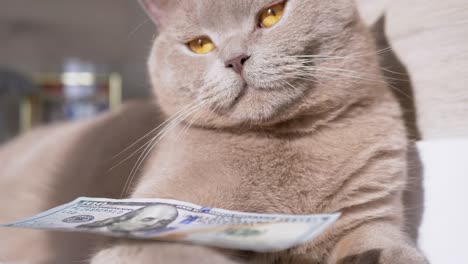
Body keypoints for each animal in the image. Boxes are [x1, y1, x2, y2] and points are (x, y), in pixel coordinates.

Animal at [0, 0, 428, 262]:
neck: (282, 140)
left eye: (271, 14)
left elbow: (387, 248)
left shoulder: (369, 218)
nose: (235, 58)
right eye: (201, 44)